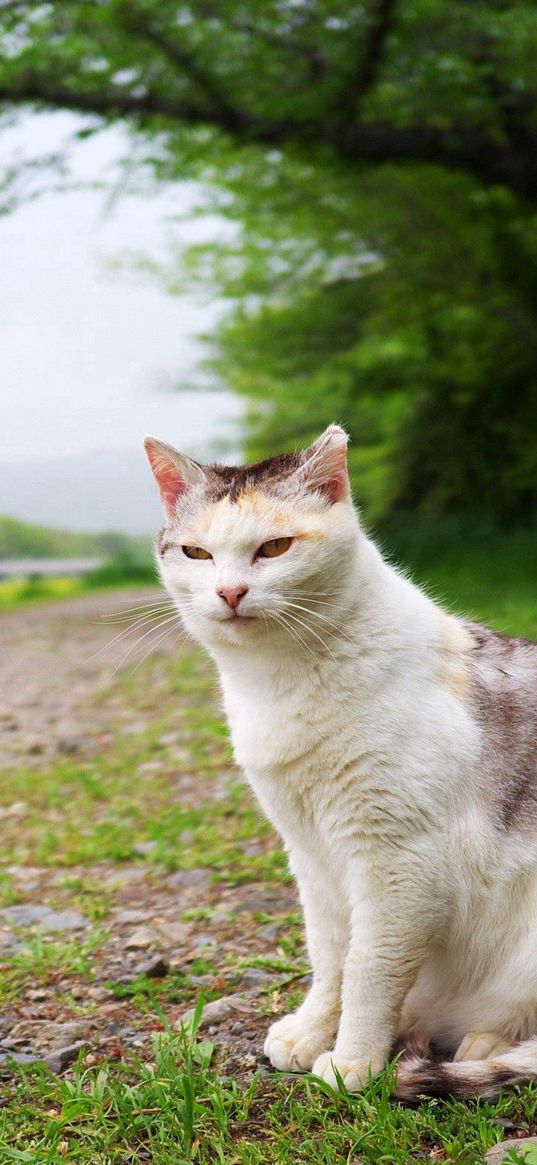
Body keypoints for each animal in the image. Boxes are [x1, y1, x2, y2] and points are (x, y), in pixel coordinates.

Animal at [143, 424, 535, 1095]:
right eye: (196, 554)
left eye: (274, 547)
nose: (229, 591)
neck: (279, 681)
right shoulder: (311, 854)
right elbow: (331, 956)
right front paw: (310, 1032)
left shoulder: (397, 860)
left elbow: (371, 967)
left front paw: (353, 1060)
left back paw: (481, 1044)